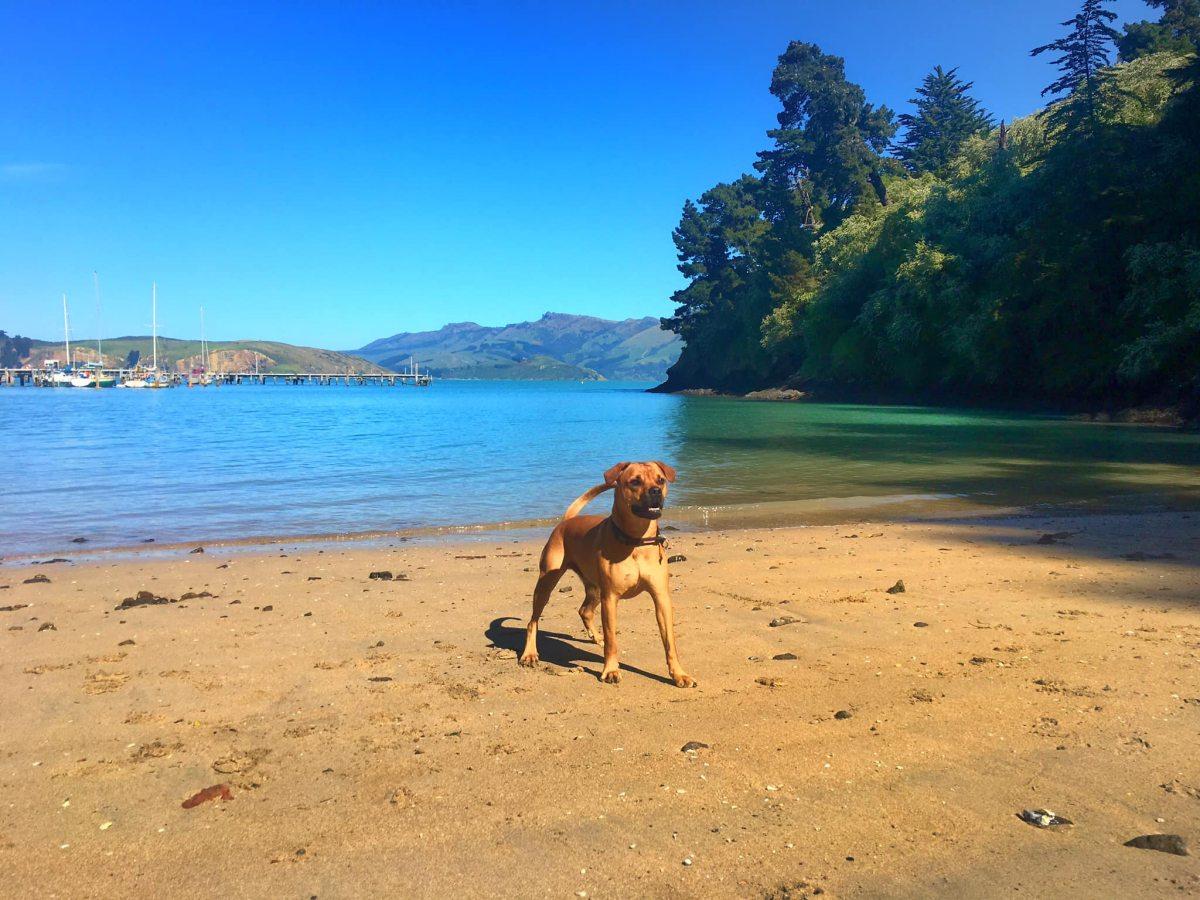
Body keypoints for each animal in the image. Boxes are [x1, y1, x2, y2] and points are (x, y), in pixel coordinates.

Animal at [516, 460, 696, 686]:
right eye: (635, 481)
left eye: (660, 480)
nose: (655, 491)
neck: (637, 541)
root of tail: (566, 521)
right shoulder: (610, 598)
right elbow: (612, 640)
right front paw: (610, 670)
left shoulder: (661, 597)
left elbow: (669, 642)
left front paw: (678, 674)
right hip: (547, 583)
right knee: (533, 620)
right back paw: (529, 654)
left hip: (594, 587)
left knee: (584, 610)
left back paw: (595, 637)